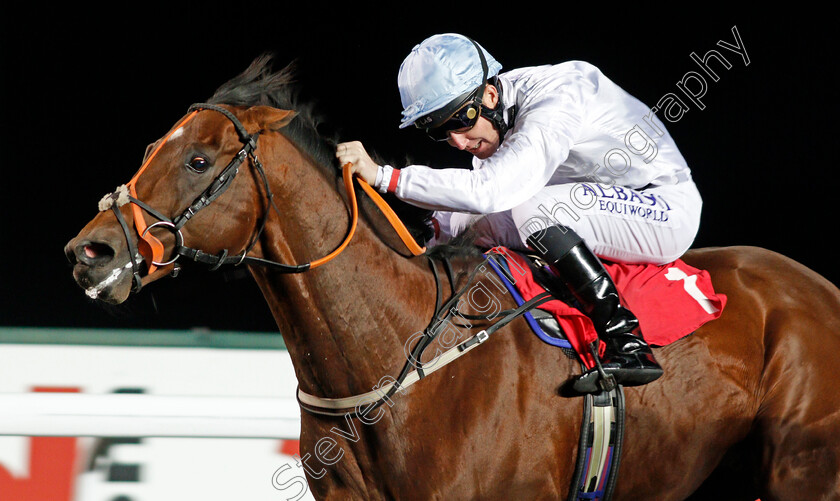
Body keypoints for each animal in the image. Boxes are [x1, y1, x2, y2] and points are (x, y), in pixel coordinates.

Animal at [64, 54, 840, 496]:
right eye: (152, 147)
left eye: (198, 160)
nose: (90, 252)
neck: (397, 352)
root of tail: (819, 291)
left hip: (803, 468)